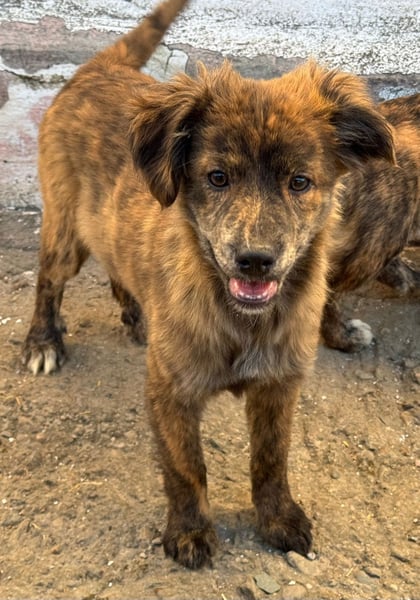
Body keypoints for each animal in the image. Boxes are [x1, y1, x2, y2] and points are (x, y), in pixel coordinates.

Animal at [22, 0, 396, 568]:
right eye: (218, 177)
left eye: (300, 182)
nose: (255, 262)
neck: (241, 319)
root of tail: (99, 68)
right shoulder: (171, 392)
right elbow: (185, 467)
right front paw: (190, 530)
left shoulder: (278, 386)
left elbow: (271, 459)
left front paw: (278, 517)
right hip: (67, 234)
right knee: (48, 279)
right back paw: (43, 341)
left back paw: (136, 313)